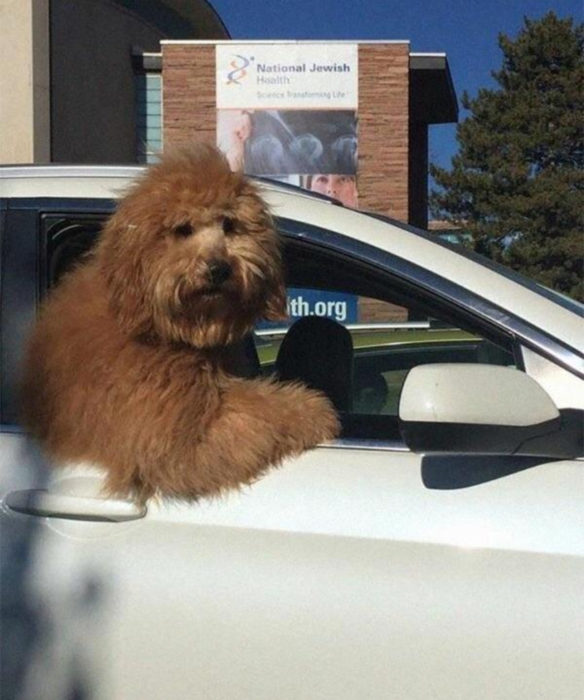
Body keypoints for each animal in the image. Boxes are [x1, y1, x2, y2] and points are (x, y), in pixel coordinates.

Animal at [22, 144, 340, 504]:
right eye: (183, 229)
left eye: (229, 225)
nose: (218, 268)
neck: (159, 328)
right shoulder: (171, 441)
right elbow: (259, 411)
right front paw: (313, 410)